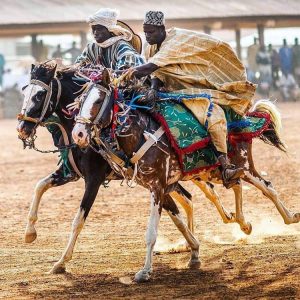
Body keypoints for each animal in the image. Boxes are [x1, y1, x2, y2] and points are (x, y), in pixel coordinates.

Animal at [16, 61, 199, 276]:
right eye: (25, 90)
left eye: (40, 94)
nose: (21, 128)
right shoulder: (69, 173)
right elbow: (40, 186)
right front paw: (29, 233)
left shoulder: (93, 179)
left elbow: (78, 220)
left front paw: (61, 261)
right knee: (186, 200)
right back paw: (190, 245)